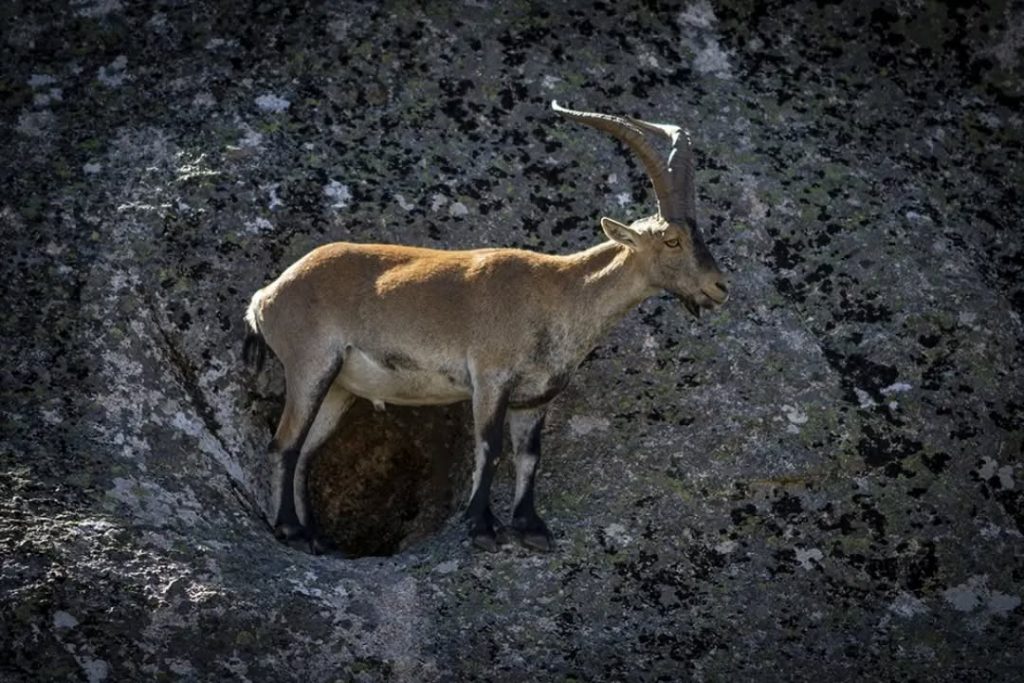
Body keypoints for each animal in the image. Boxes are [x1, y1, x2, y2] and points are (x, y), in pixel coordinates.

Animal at [243, 101, 729, 554]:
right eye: (672, 240)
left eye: (700, 234)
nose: (719, 287)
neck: (558, 292)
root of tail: (265, 295)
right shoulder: (490, 377)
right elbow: (490, 447)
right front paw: (481, 527)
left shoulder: (536, 397)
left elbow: (529, 456)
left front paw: (531, 528)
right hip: (310, 365)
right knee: (284, 444)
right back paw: (290, 529)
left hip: (339, 387)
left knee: (307, 451)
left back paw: (314, 535)